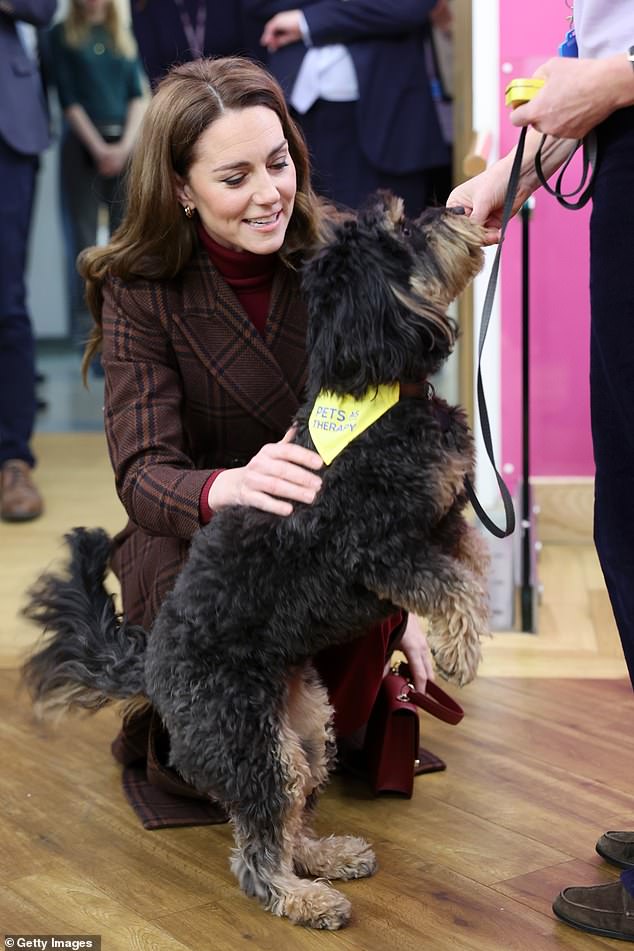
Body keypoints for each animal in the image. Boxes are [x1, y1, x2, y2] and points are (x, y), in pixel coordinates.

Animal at [22, 193, 488, 928]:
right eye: (401, 232)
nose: (460, 208)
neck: (374, 391)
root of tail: (151, 664)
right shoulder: (376, 548)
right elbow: (452, 583)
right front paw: (461, 653)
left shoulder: (443, 518)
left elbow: (473, 562)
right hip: (247, 737)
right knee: (258, 845)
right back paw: (300, 895)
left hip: (307, 725)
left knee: (292, 811)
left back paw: (325, 856)